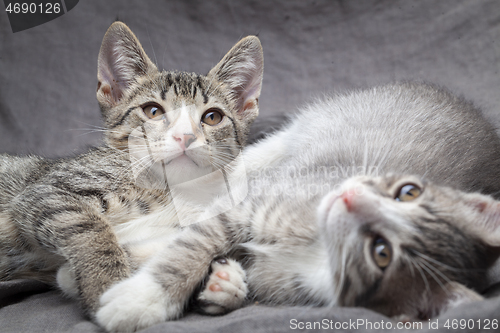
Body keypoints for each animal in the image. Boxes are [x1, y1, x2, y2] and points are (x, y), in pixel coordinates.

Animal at [0, 20, 264, 316]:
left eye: (212, 117)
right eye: (153, 111)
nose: (185, 136)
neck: (174, 189)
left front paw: (221, 281)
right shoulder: (46, 191)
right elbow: (89, 227)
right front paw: (106, 284)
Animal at [93, 81, 500, 330]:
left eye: (381, 252)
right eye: (408, 191)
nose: (350, 196)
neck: (317, 250)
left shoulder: (281, 278)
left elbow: (197, 242)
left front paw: (225, 287)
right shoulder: (251, 204)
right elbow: (191, 243)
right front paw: (140, 297)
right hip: (291, 139)